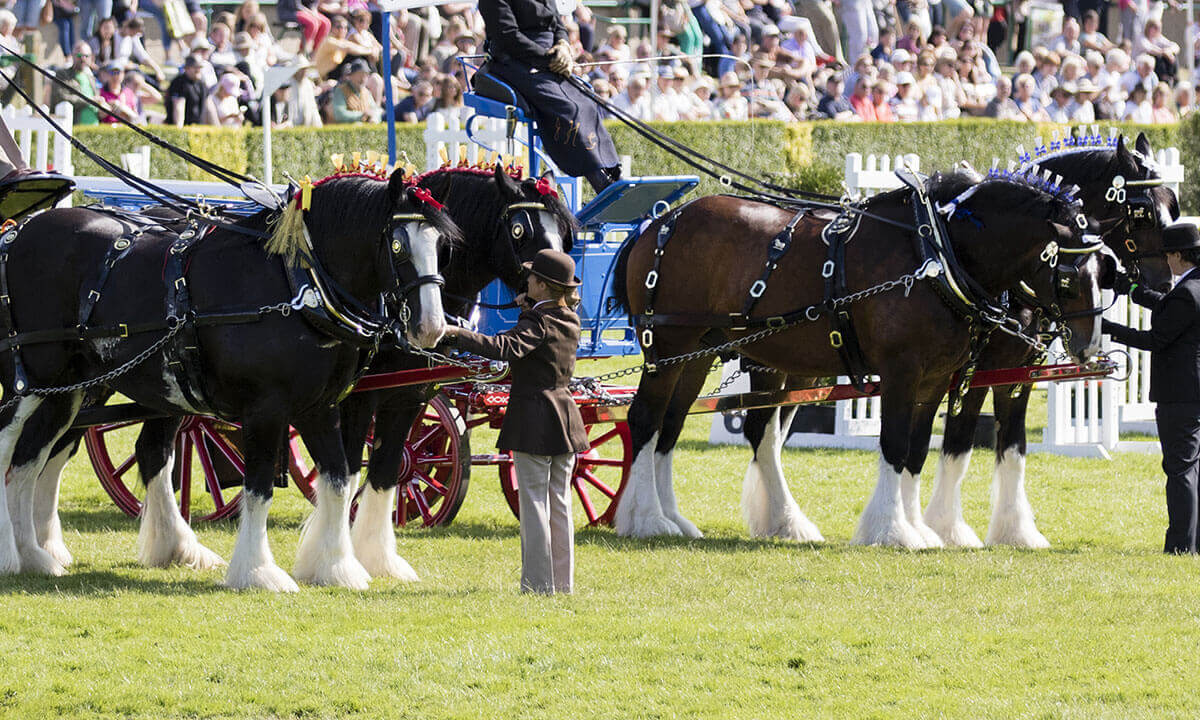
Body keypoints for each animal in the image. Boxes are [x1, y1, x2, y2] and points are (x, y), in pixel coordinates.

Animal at [0, 170, 461, 591]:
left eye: (443, 246)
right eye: (397, 244)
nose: (430, 327)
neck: (297, 283)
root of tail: (18, 234)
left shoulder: (320, 406)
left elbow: (336, 479)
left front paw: (335, 567)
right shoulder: (267, 408)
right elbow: (259, 487)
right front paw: (258, 572)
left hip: (69, 391)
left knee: (29, 462)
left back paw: (36, 555)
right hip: (31, 383)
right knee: (11, 446)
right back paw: (13, 555)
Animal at [610, 169, 1105, 546]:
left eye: (1106, 270)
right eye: (1068, 276)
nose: (1090, 346)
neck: (937, 254)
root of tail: (658, 222)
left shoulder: (936, 379)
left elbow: (918, 450)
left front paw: (920, 528)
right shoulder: (904, 371)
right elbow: (895, 444)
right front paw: (892, 530)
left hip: (699, 354)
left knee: (676, 427)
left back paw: (683, 519)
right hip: (667, 346)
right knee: (645, 420)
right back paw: (647, 519)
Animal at [738, 132, 1179, 549]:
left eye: (1173, 206)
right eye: (1144, 213)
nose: (1164, 285)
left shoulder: (1018, 372)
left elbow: (1010, 447)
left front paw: (1014, 531)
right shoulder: (970, 372)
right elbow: (957, 444)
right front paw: (944, 527)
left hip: (802, 369)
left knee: (771, 433)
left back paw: (780, 520)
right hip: (767, 363)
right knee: (762, 433)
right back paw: (785, 519)